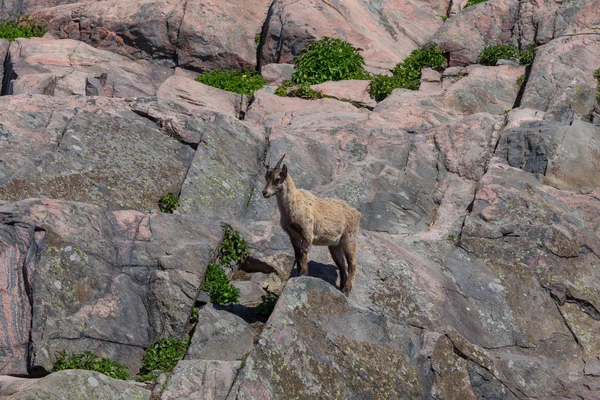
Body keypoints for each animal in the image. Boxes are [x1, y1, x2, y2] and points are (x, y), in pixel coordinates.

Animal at [262, 154, 360, 294]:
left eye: (277, 179)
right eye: (266, 177)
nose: (265, 192)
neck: (293, 203)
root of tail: (356, 213)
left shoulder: (307, 230)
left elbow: (303, 251)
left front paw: (304, 273)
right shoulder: (292, 235)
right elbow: (297, 254)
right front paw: (298, 273)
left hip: (349, 238)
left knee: (352, 264)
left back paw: (347, 289)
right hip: (335, 245)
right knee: (342, 266)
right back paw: (341, 287)